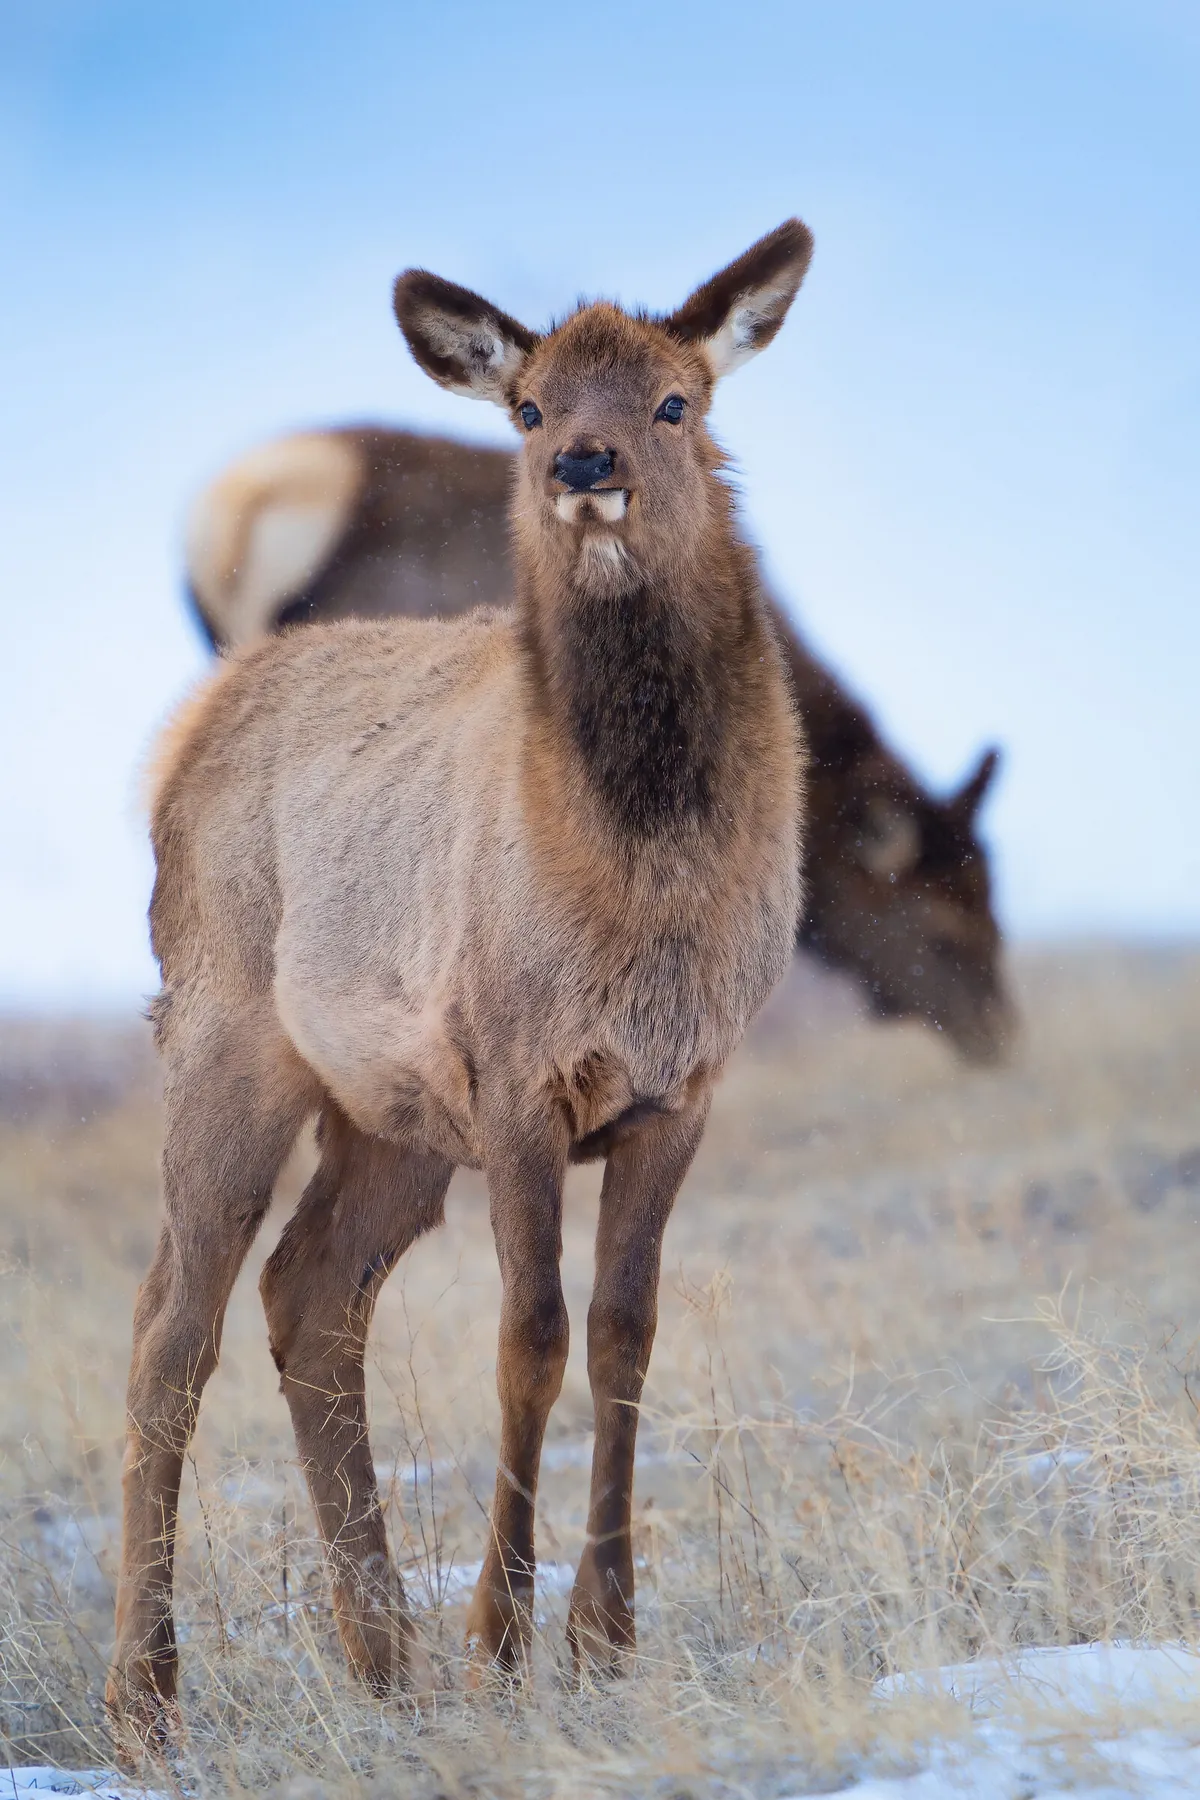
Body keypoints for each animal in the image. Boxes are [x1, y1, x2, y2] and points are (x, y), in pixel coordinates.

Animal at [108, 221, 813, 1742]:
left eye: (676, 400)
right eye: (529, 406)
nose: (585, 467)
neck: (641, 886)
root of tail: (190, 732)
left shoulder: (681, 1090)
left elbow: (624, 1334)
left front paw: (604, 1636)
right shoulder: (514, 1074)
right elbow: (529, 1336)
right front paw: (504, 1635)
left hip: (388, 1117)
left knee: (309, 1294)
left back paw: (382, 1654)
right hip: (224, 1036)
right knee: (171, 1329)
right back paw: (147, 1695)